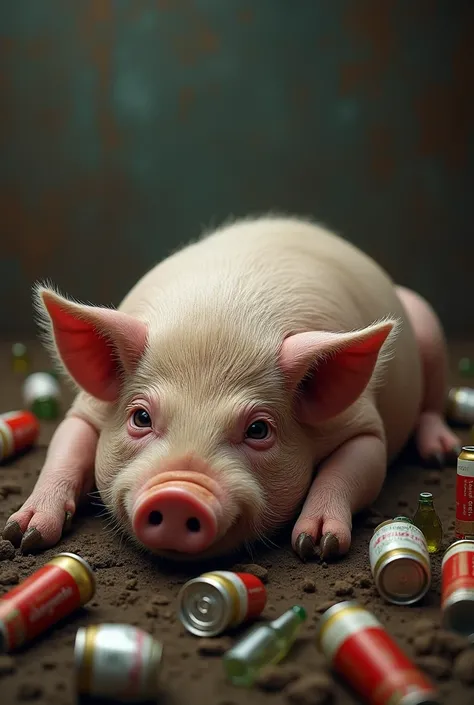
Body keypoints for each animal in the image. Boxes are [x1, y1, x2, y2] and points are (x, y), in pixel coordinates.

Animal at [1, 217, 462, 560]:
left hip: (428, 327)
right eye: (140, 417)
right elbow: (63, 452)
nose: (177, 496)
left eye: (258, 429)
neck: (220, 319)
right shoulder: (88, 408)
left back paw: (440, 452)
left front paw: (315, 545)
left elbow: (353, 469)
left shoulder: (362, 424)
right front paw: (22, 534)